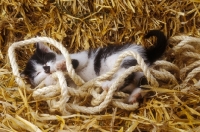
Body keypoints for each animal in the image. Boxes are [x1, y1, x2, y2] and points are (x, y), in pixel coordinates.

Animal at [20, 29, 167, 103]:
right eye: (37, 73)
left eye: (45, 61)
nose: (46, 69)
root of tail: (144, 53)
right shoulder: (72, 85)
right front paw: (51, 78)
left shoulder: (80, 57)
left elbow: (73, 62)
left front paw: (60, 65)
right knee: (140, 82)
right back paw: (134, 95)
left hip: (119, 58)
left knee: (127, 76)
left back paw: (110, 84)